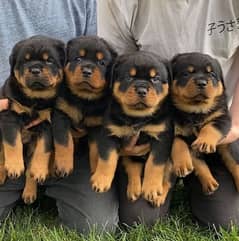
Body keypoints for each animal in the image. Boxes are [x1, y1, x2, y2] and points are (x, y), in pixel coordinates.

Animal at [0, 34, 65, 202]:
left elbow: (43, 148)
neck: (35, 99)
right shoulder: (10, 114)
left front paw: (40, 171)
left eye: (49, 60)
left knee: (30, 168)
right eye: (25, 61)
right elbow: (12, 142)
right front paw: (14, 166)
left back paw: (30, 192)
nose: (35, 69)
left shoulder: (48, 122)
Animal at [51, 34, 116, 176]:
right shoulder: (61, 113)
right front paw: (64, 164)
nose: (87, 71)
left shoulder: (97, 124)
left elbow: (96, 149)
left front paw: (96, 169)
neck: (83, 99)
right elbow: (64, 141)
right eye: (78, 58)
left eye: (101, 63)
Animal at [90, 51, 175, 206]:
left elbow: (155, 164)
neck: (137, 118)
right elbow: (107, 159)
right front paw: (101, 180)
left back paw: (158, 197)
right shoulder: (109, 133)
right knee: (133, 168)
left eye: (155, 79)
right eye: (129, 77)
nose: (142, 90)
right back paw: (134, 189)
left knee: (168, 179)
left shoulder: (162, 137)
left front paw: (151, 188)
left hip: (172, 160)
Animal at [171, 52, 239, 194]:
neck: (196, 112)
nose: (201, 83)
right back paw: (209, 183)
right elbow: (179, 142)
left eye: (211, 74)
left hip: (228, 147)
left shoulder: (222, 117)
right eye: (187, 73)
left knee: (234, 163)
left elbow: (210, 127)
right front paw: (182, 164)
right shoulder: (173, 127)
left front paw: (205, 142)